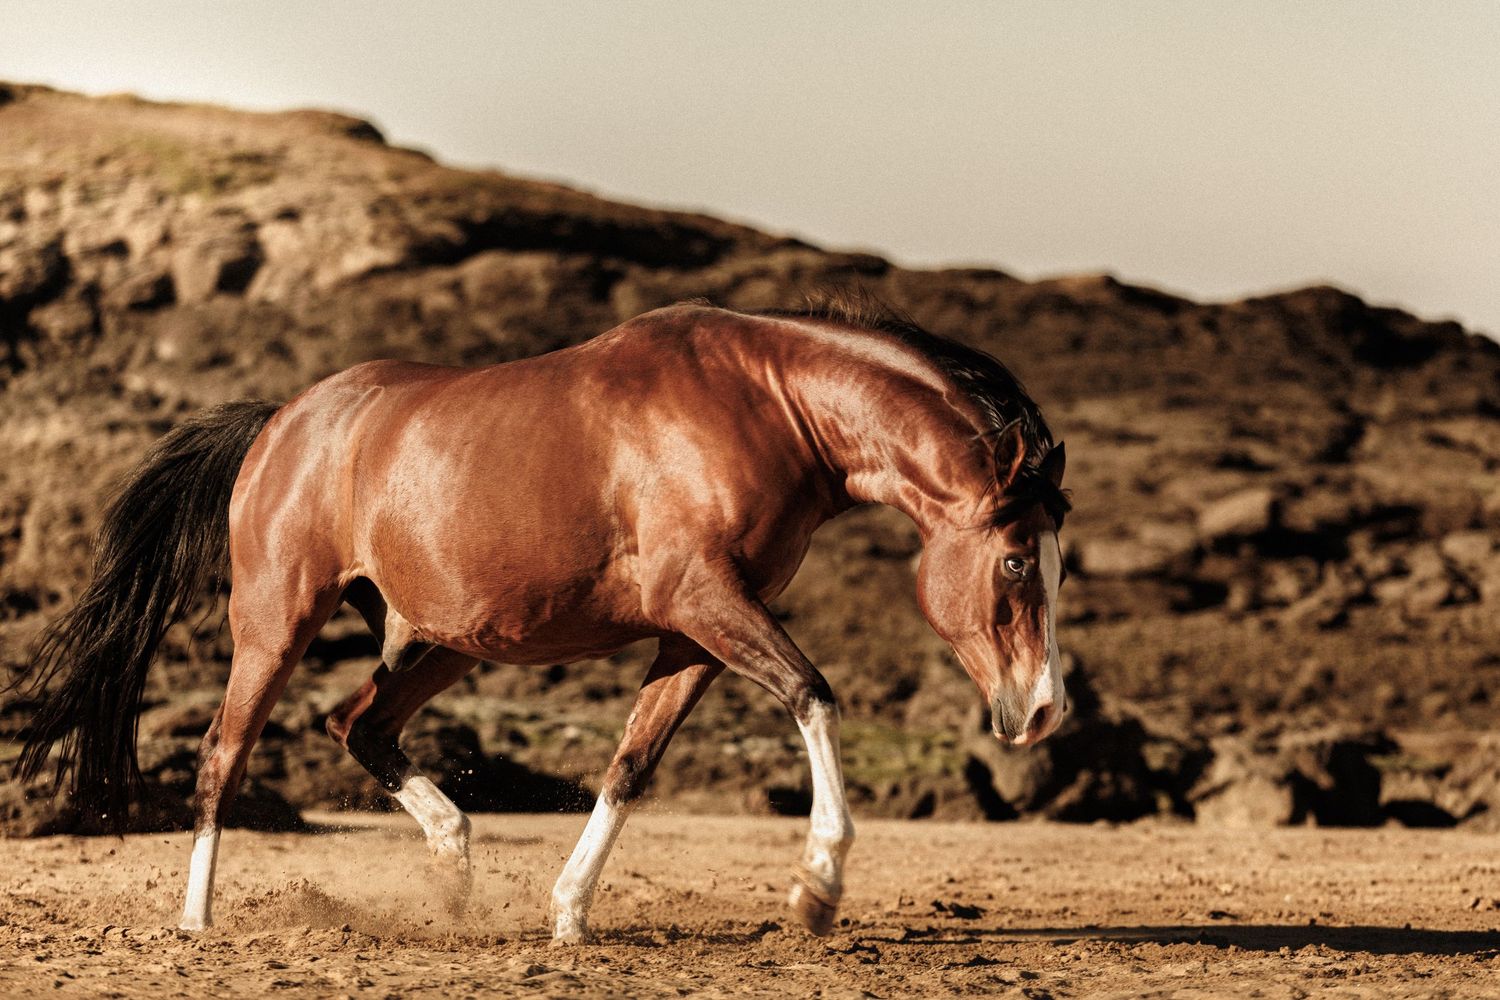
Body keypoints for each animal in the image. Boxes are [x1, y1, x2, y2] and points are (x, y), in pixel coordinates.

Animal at [13, 298, 1070, 943]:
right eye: (1018, 560)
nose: (1044, 710)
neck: (767, 406)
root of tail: (282, 422)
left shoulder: (695, 631)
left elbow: (631, 765)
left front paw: (567, 913)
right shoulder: (705, 601)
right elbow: (814, 695)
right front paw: (817, 886)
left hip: (442, 640)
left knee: (359, 725)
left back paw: (453, 864)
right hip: (276, 623)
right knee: (222, 758)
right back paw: (197, 918)